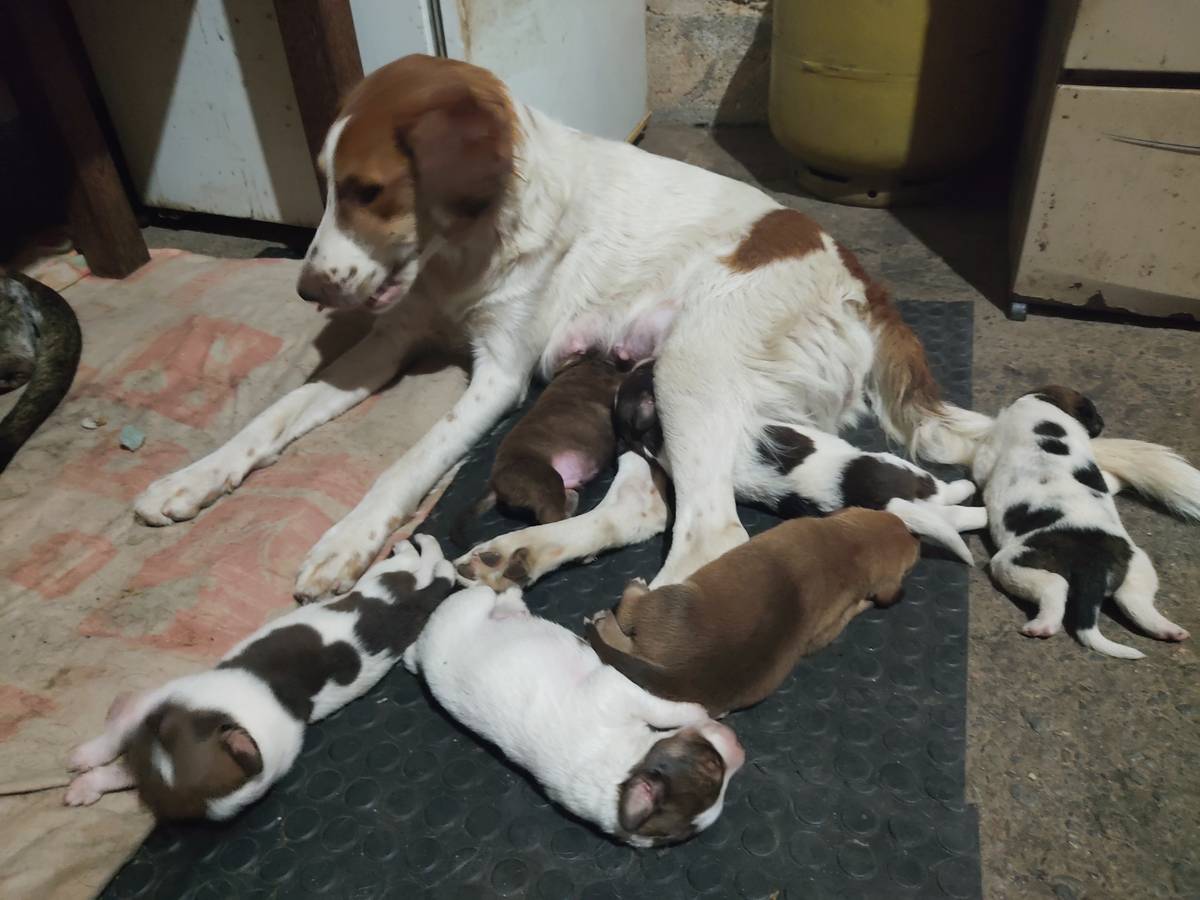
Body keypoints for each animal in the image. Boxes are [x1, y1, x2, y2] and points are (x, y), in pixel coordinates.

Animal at [63, 537, 455, 818]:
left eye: (166, 726)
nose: (129, 706)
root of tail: (408, 603)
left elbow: (115, 744)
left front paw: (87, 760)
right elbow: (122, 763)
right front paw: (91, 779)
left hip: (391, 573)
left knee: (425, 564)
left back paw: (419, 548)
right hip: (391, 579)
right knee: (429, 566)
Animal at [403, 575, 745, 846]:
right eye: (712, 765)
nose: (740, 749)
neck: (622, 774)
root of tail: (420, 651)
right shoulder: (619, 690)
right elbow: (666, 710)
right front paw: (699, 711)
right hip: (470, 605)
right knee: (489, 596)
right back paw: (511, 593)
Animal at [586, 508, 920, 715]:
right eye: (901, 524)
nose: (917, 536)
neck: (850, 549)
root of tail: (686, 675)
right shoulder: (828, 625)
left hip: (666, 600)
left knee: (627, 618)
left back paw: (617, 607)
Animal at [972, 386, 1190, 659]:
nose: (1102, 424)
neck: (1043, 405)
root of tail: (1092, 564)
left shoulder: (986, 457)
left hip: (1011, 564)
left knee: (1054, 589)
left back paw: (1042, 625)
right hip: (1138, 566)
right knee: (1135, 603)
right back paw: (1169, 630)